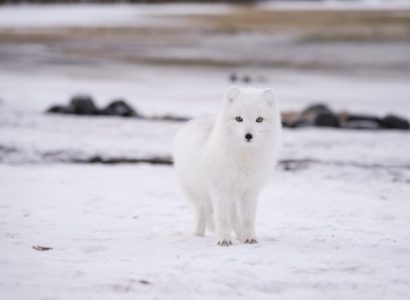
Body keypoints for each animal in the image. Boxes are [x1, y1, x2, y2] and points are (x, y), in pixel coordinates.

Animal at [173, 86, 282, 246]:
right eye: (239, 118)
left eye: (259, 119)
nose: (248, 136)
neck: (244, 157)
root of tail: (195, 121)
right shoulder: (221, 188)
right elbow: (222, 218)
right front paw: (224, 240)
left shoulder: (250, 189)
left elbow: (248, 218)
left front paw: (249, 238)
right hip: (199, 192)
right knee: (202, 212)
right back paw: (198, 235)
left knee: (235, 218)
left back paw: (241, 236)